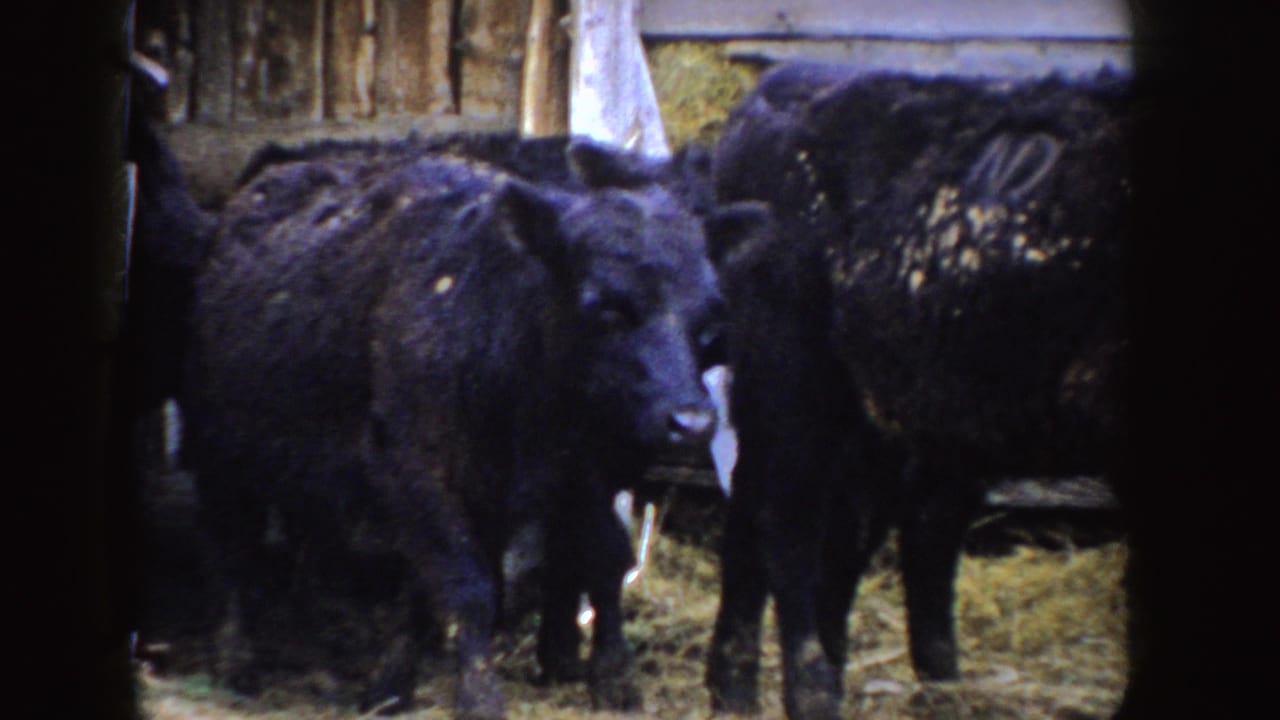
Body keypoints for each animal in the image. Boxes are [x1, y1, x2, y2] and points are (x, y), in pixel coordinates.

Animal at [163, 127, 763, 718]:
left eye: (709, 310)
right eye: (605, 305)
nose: (692, 420)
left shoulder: (581, 473)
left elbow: (599, 557)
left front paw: (613, 680)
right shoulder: (421, 473)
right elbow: (467, 587)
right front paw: (479, 696)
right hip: (219, 451)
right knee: (233, 543)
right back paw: (236, 660)